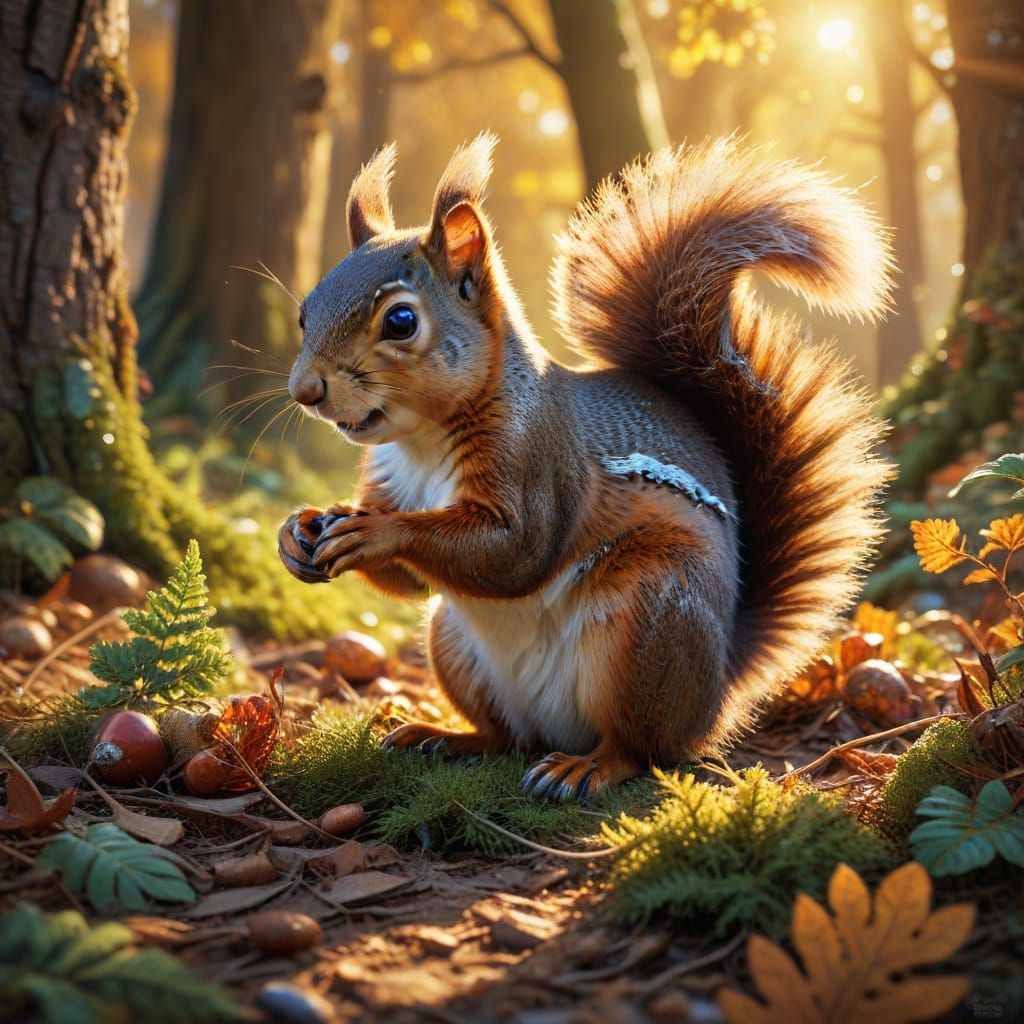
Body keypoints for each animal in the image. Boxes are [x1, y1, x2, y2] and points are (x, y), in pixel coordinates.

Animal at [278, 134, 894, 801]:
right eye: (305, 312)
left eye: (400, 321)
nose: (305, 391)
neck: (423, 440)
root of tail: (715, 693)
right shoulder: (391, 479)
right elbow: (410, 581)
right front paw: (300, 530)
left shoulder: (538, 463)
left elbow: (514, 551)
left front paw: (374, 532)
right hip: (454, 644)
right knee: (508, 737)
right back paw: (444, 737)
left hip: (647, 623)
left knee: (641, 748)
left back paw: (586, 767)